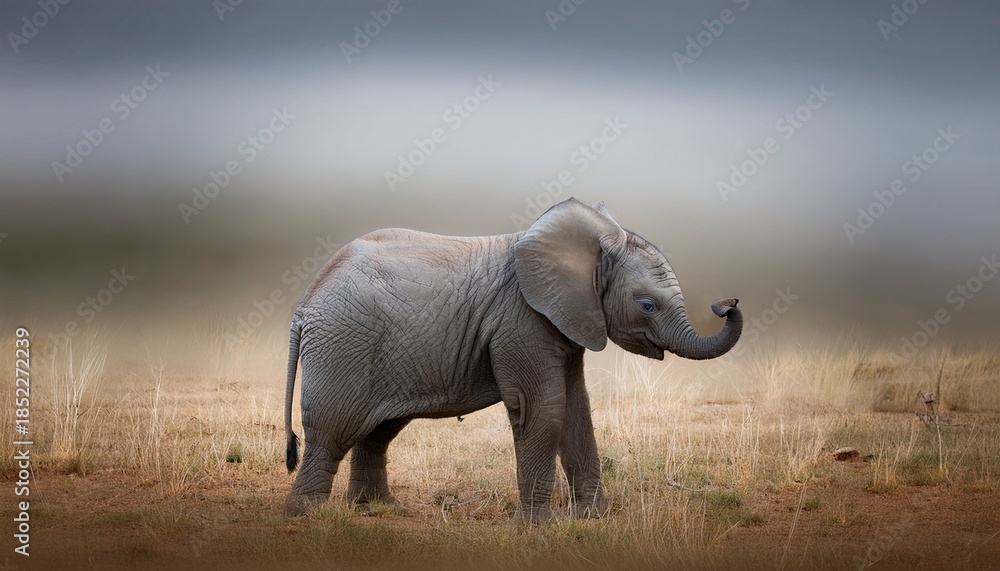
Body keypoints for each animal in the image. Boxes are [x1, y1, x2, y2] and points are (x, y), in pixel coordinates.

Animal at [283, 197, 742, 520]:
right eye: (647, 305)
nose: (727, 303)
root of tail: (305, 304)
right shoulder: (521, 322)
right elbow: (544, 408)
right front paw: (536, 527)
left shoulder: (565, 320)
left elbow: (576, 408)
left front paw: (591, 520)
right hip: (344, 346)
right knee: (331, 429)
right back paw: (307, 516)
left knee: (378, 430)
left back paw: (379, 510)